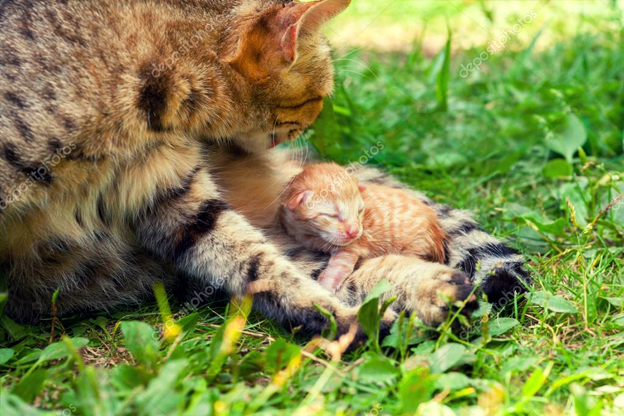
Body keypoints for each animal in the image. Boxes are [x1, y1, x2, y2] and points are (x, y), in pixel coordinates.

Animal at [280, 162, 448, 292]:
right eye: (332, 215)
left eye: (359, 211)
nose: (354, 232)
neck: (310, 234)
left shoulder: (350, 248)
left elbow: (338, 267)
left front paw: (326, 286)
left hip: (415, 246)